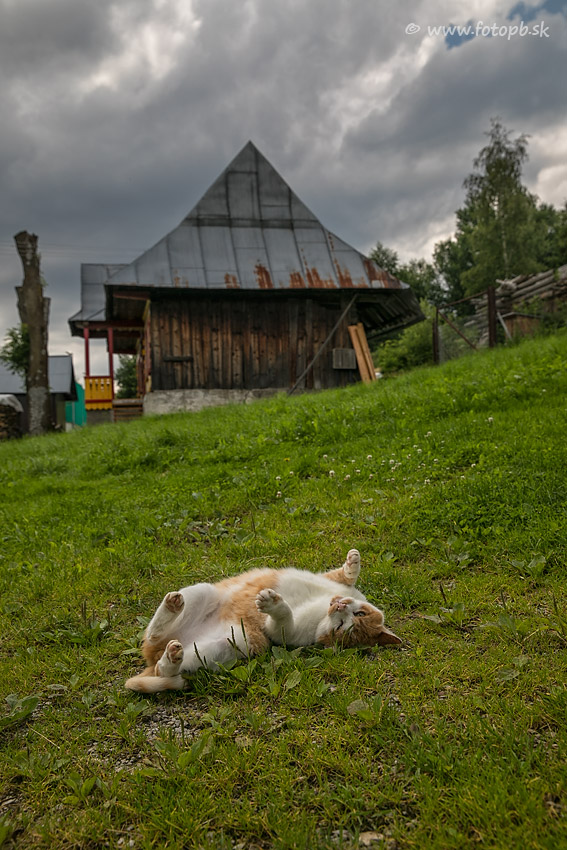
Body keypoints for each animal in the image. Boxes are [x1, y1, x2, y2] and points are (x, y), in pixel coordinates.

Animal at [125, 548, 401, 693]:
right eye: (359, 613)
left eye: (342, 627)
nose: (339, 605)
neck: (322, 608)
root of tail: (154, 655)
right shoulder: (332, 581)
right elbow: (346, 575)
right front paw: (353, 561)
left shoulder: (280, 634)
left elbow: (283, 616)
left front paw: (274, 603)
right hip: (203, 591)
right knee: (154, 632)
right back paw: (172, 606)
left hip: (228, 644)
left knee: (162, 667)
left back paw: (171, 657)